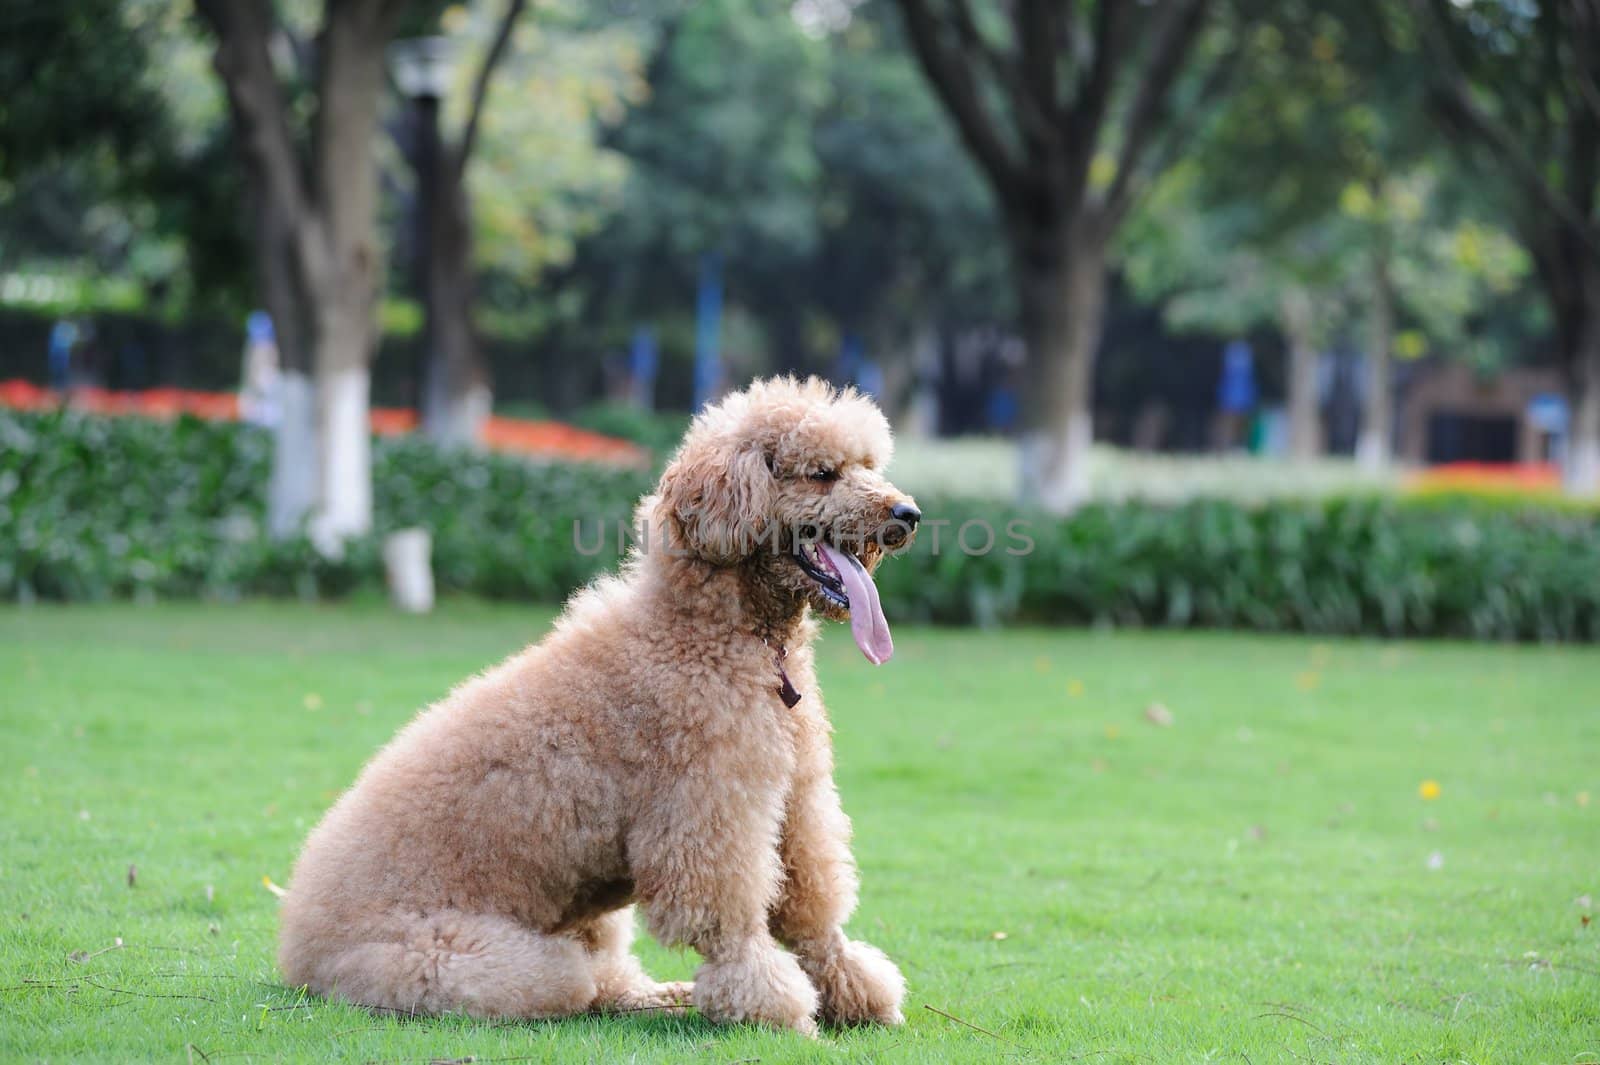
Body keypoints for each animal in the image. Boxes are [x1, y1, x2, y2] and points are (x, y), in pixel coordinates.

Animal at [281, 372, 921, 1029]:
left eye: (868, 465)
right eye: (821, 474)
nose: (909, 515)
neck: (724, 635)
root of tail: (300, 955)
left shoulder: (796, 793)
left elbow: (811, 905)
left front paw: (850, 985)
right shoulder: (711, 804)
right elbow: (731, 920)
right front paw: (772, 1004)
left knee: (610, 981)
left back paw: (661, 995)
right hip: (476, 961)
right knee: (577, 985)